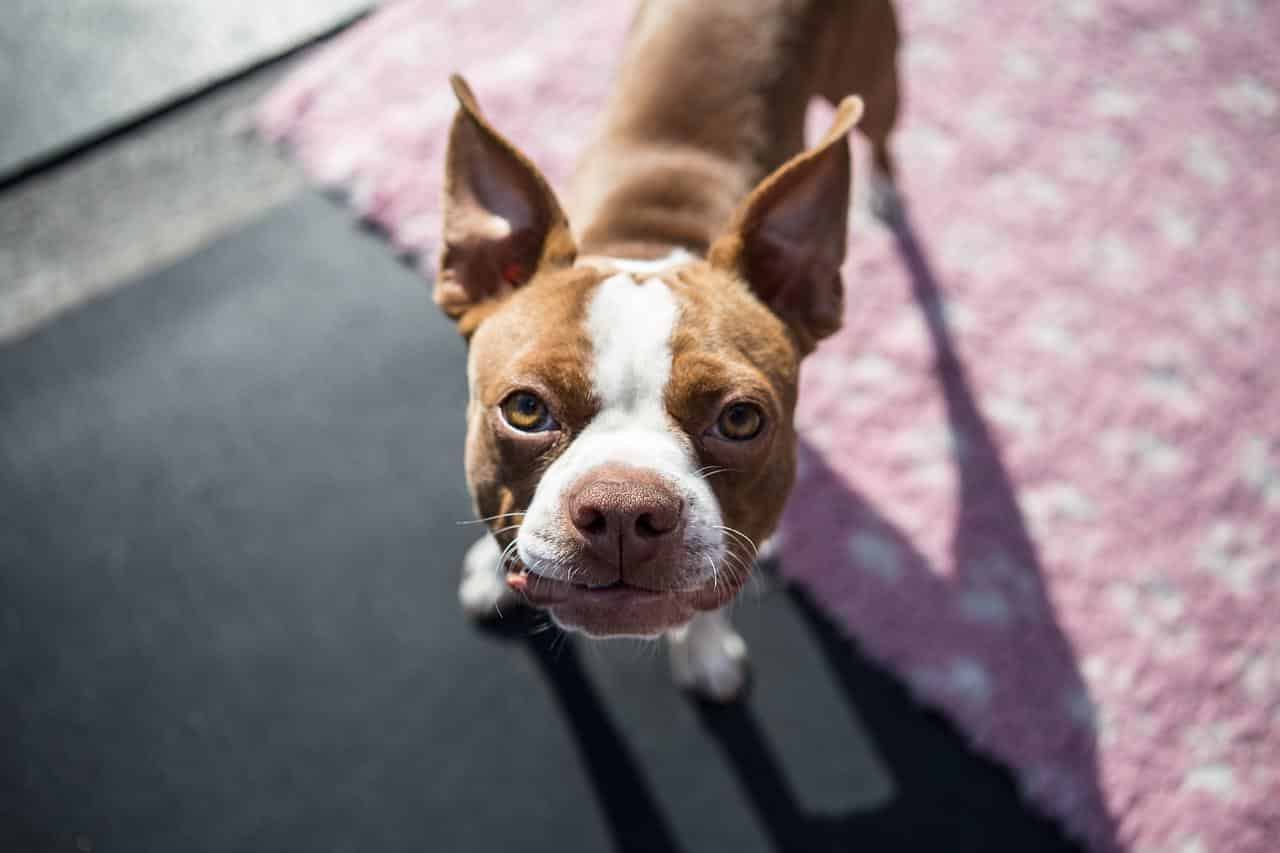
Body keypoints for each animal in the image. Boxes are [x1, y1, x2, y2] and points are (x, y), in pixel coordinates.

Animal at [437, 0, 901, 696]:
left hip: (875, 76)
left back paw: (885, 191)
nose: (623, 510)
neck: (648, 242)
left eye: (741, 419)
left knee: (881, 133)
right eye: (525, 409)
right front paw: (490, 570)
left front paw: (705, 652)